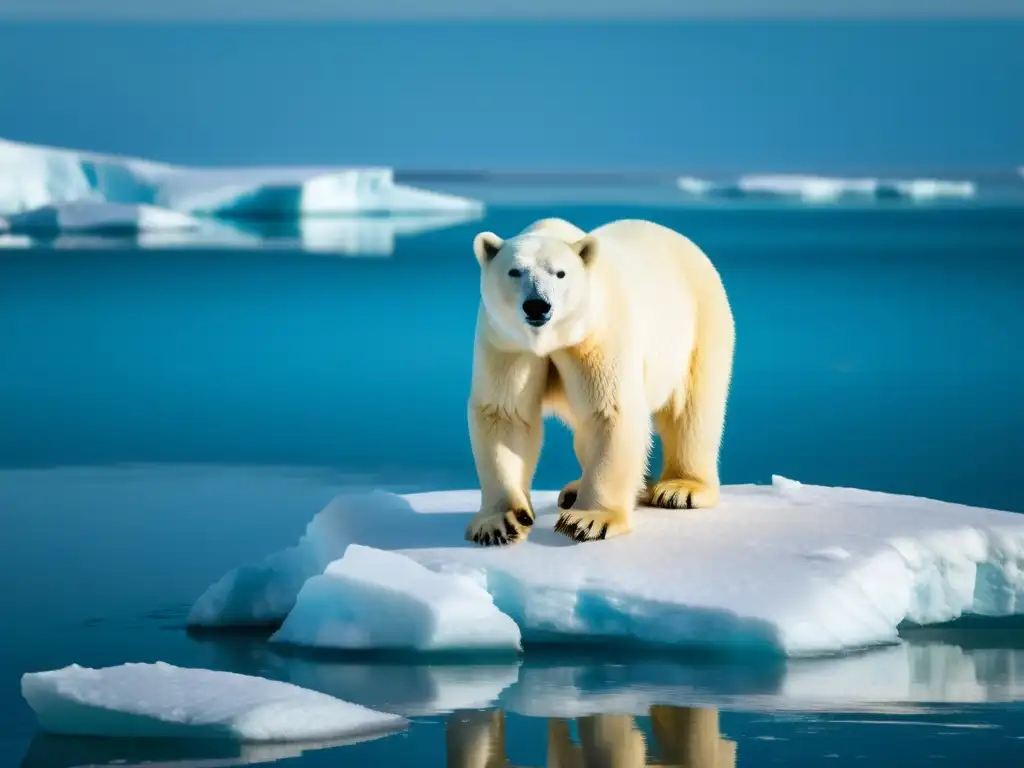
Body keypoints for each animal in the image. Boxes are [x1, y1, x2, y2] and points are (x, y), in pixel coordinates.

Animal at [464, 218, 737, 548]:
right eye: (514, 271)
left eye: (560, 273)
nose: (537, 306)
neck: (552, 339)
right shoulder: (507, 343)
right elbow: (505, 416)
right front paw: (500, 523)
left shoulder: (598, 335)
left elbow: (610, 412)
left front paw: (588, 520)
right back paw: (573, 490)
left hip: (698, 325)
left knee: (690, 410)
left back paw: (680, 488)